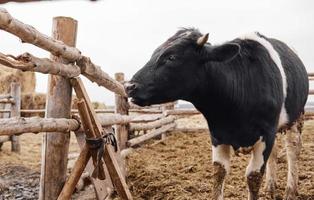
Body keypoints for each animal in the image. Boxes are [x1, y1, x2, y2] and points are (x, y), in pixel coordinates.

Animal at [125, 28, 310, 200]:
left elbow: (253, 176)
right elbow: (219, 171)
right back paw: (270, 187)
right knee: (275, 152)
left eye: (171, 57)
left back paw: (290, 190)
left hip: (297, 117)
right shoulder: (218, 135)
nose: (129, 86)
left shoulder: (266, 134)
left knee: (293, 149)